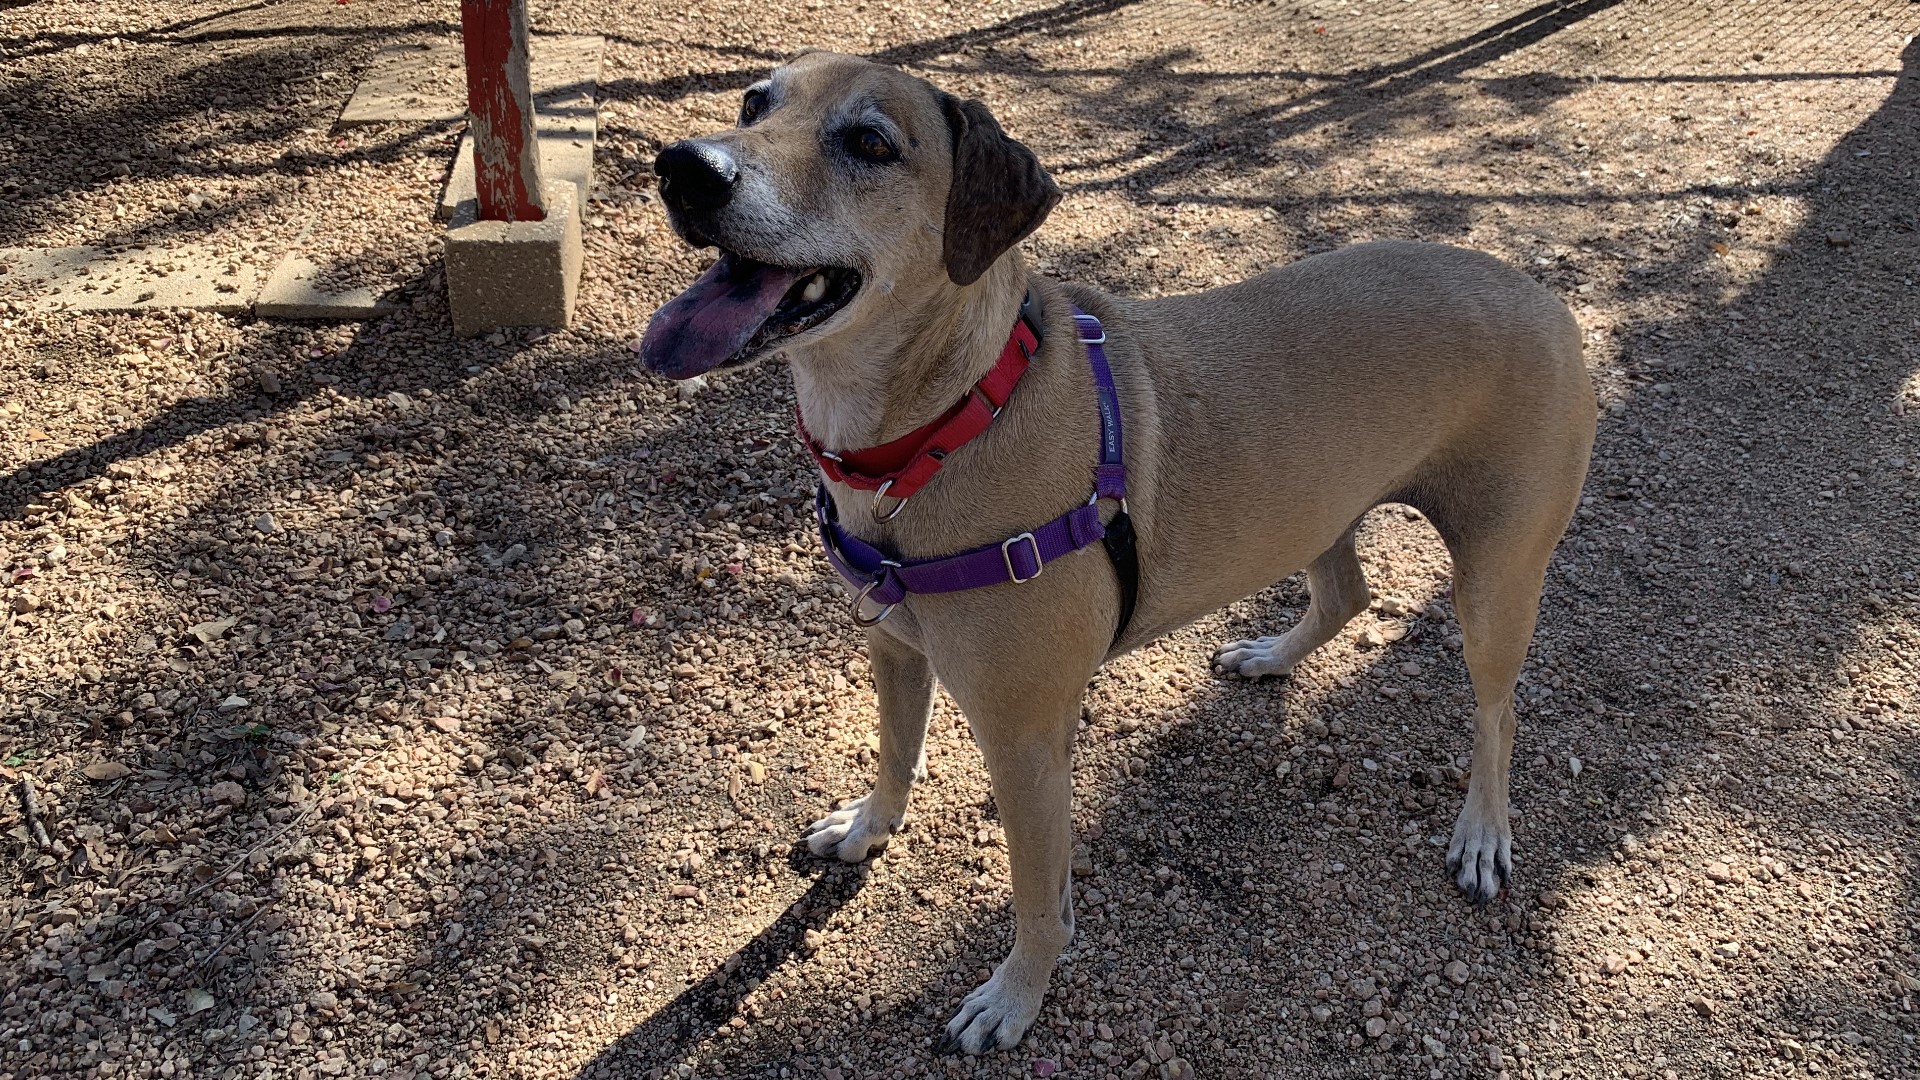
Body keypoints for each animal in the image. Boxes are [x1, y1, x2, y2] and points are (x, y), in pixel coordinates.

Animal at [637, 52, 1597, 1053]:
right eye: (754, 102)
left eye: (871, 142)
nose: (684, 167)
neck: (952, 420)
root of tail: (1543, 294)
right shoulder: (895, 648)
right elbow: (895, 757)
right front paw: (868, 830)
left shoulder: (1023, 740)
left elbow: (1037, 899)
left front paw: (1014, 996)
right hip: (1321, 507)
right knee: (1348, 595)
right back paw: (1270, 655)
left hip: (1495, 579)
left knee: (1497, 713)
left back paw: (1482, 831)